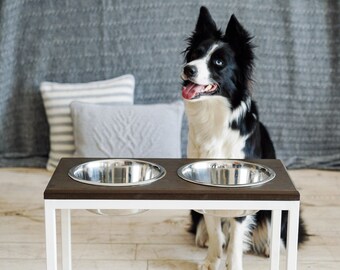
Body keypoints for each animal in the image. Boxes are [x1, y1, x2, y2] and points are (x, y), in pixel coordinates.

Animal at [182, 6, 306, 270]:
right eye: (195, 55)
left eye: (218, 62)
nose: (188, 68)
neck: (215, 117)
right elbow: (215, 228)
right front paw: (212, 260)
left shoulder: (242, 184)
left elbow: (237, 235)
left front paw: (232, 262)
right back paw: (203, 236)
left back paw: (272, 246)